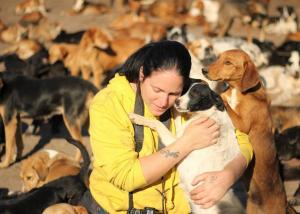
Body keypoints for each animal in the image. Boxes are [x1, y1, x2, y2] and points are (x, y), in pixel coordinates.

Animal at [203, 48, 288, 214]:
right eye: (218, 58)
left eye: (228, 62)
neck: (237, 91)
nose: (204, 70)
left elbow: (226, 103)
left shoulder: (241, 123)